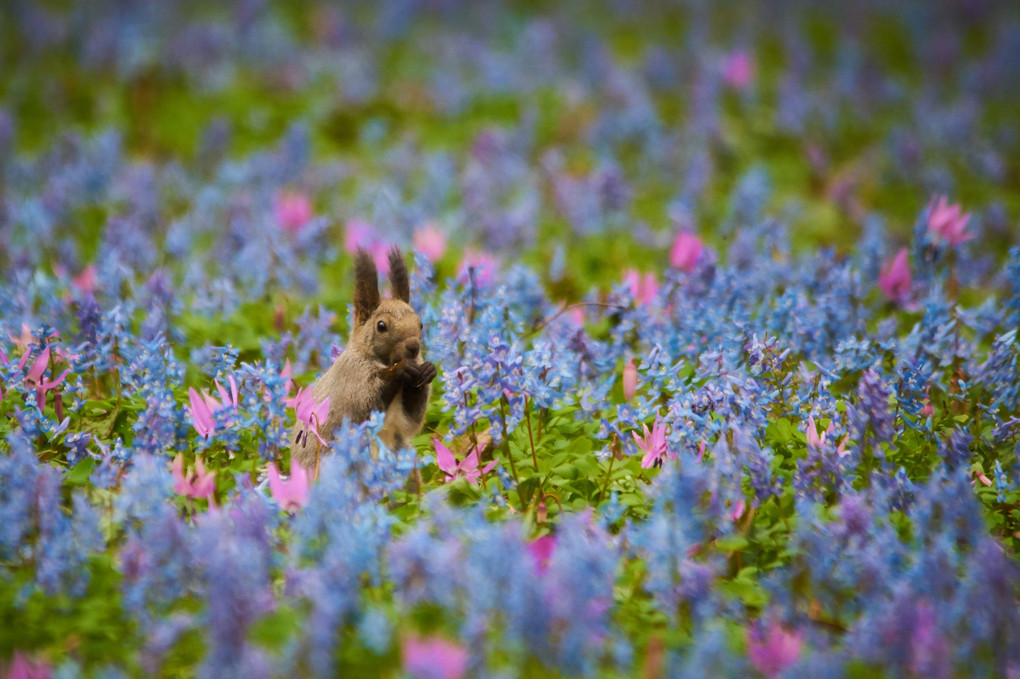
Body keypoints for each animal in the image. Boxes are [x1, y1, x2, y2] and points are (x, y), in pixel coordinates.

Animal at [295, 244, 438, 471]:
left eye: (420, 323)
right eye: (381, 326)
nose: (414, 347)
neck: (385, 361)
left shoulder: (402, 421)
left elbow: (410, 421)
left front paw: (427, 370)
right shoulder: (353, 380)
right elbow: (366, 403)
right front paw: (401, 370)